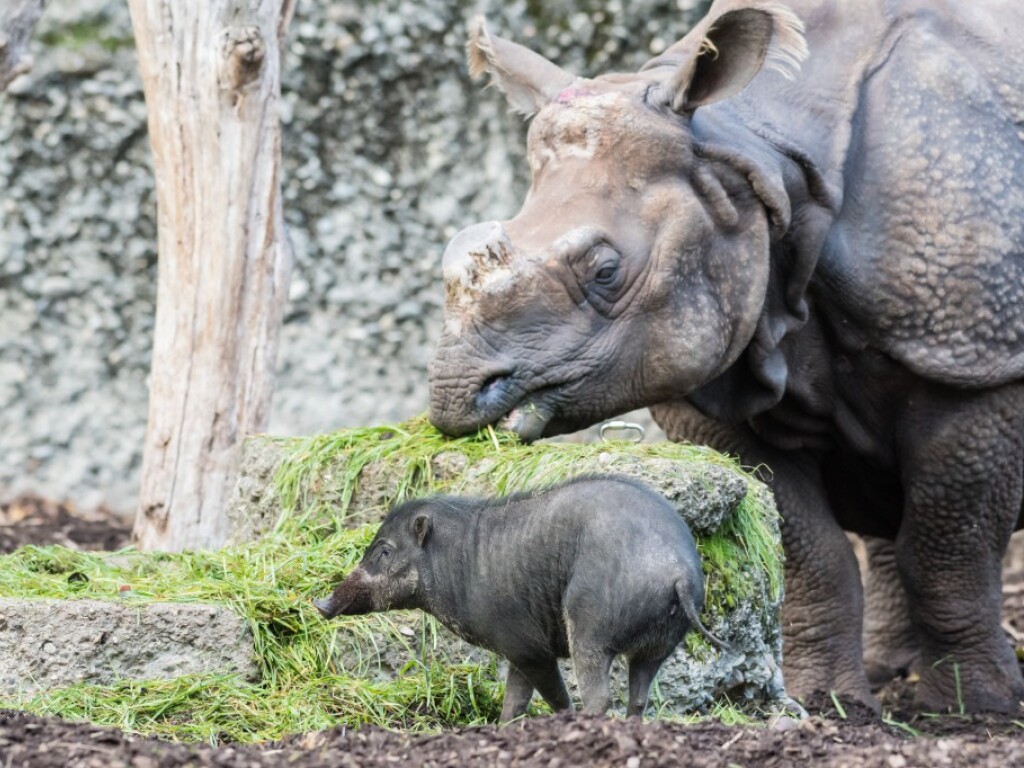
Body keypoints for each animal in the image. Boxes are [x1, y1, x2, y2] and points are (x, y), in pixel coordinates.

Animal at [311, 475, 720, 720]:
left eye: (384, 551)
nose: (320, 604)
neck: (457, 563)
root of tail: (679, 574)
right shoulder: (517, 653)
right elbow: (513, 703)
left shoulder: (526, 645)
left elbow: (554, 698)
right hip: (659, 645)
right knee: (638, 696)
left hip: (591, 629)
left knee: (599, 696)